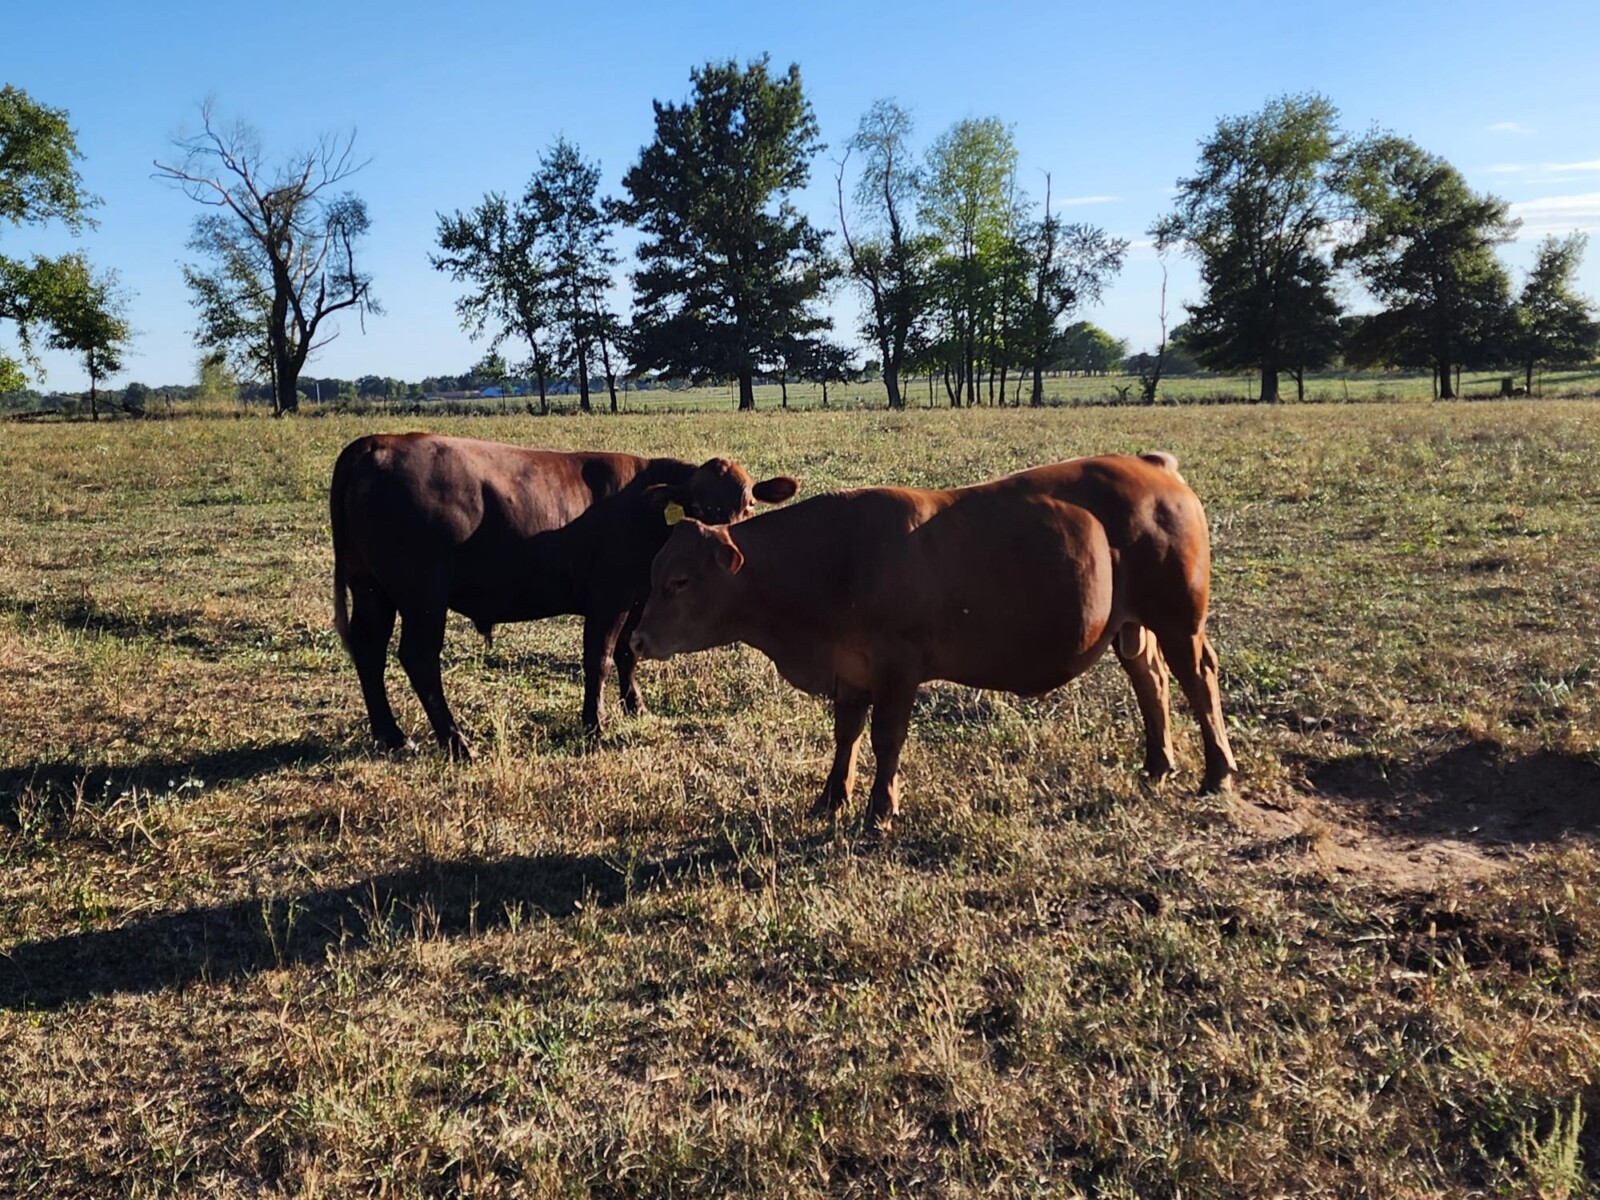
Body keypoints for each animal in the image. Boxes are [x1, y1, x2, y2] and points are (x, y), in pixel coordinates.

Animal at [330, 433, 799, 757]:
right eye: (699, 510)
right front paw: (595, 724)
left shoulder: (638, 597)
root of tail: (375, 443)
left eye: (748, 507)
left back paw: (393, 736)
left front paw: (636, 707)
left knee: (369, 651)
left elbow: (628, 654)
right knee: (419, 658)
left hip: (372, 590)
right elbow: (600, 658)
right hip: (422, 596)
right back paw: (457, 742)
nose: (728, 555)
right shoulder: (610, 596)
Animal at [630, 453, 1238, 830]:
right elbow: (846, 736)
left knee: (1197, 679)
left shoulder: (898, 668)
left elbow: (886, 739)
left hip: (1180, 620)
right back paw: (1157, 764)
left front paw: (880, 809)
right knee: (1150, 681)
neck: (834, 558)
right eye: (654, 571)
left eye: (679, 580)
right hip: (1132, 626)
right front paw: (832, 798)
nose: (636, 639)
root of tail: (1153, 467)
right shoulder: (849, 671)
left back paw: (1217, 771)